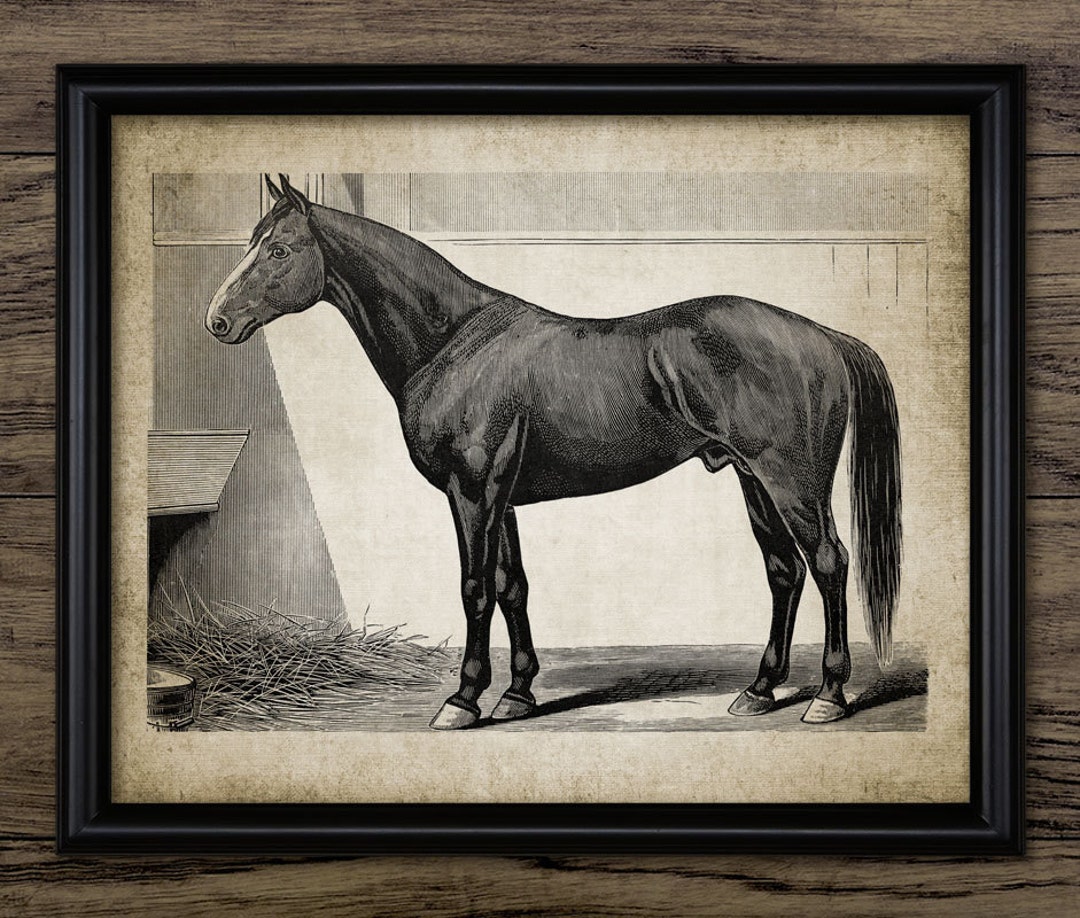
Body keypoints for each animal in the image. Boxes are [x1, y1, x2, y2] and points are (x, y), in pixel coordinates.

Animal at [205, 174, 902, 729]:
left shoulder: (473, 494)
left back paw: (829, 696)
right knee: (783, 571)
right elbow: (512, 586)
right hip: (753, 481)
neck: (455, 343)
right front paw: (517, 694)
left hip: (791, 483)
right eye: (253, 243)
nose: (217, 321)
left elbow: (475, 589)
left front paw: (462, 701)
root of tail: (822, 336)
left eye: (278, 249)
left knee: (828, 563)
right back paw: (759, 690)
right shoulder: (502, 499)